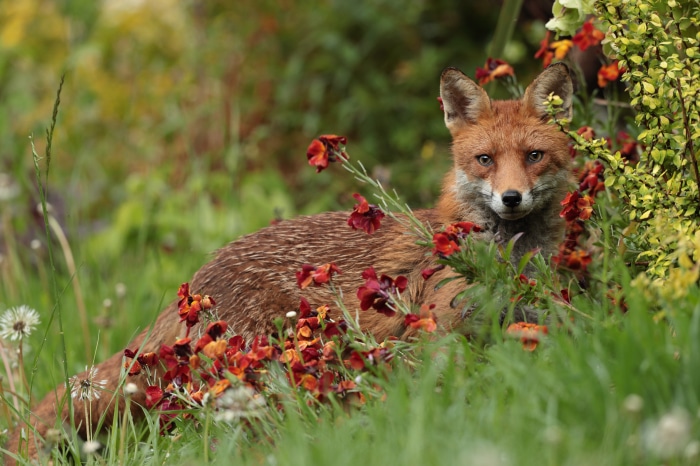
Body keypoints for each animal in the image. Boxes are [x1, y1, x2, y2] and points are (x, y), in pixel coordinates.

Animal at [5, 63, 573, 463]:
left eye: (534, 156)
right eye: (485, 160)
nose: (512, 198)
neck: (506, 257)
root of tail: (193, 284)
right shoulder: (436, 332)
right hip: (266, 368)